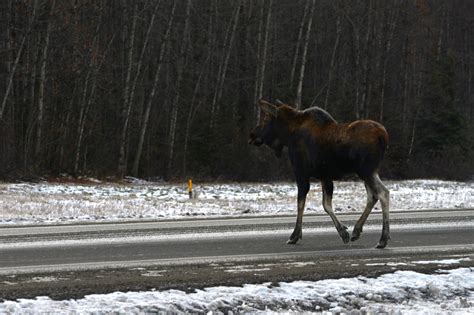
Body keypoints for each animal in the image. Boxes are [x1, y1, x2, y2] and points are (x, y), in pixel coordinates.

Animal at [250, 100, 390, 249]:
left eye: (266, 119)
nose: (252, 135)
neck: (287, 136)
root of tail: (383, 136)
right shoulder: (325, 176)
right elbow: (326, 204)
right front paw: (344, 232)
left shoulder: (301, 172)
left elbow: (302, 203)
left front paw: (294, 236)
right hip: (368, 172)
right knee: (372, 196)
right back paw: (357, 231)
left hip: (366, 171)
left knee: (383, 193)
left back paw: (382, 239)